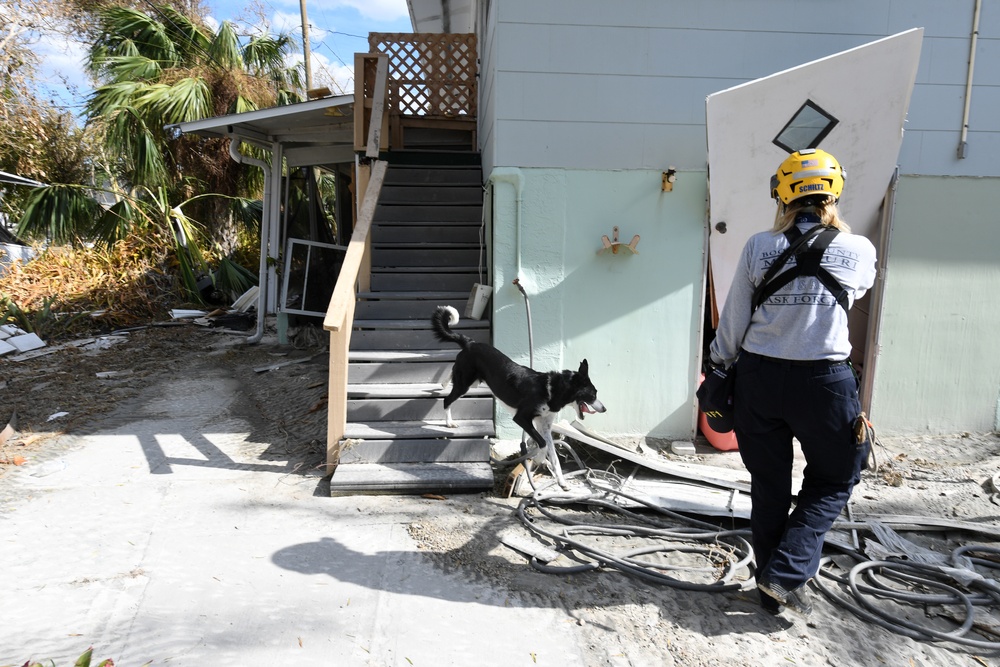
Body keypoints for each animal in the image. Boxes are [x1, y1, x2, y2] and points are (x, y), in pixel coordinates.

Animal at [428, 306, 600, 486]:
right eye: (593, 394)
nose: (604, 408)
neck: (552, 389)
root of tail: (471, 343)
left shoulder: (544, 426)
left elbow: (553, 454)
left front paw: (561, 481)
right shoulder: (522, 418)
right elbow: (542, 444)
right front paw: (538, 459)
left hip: (470, 380)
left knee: (452, 373)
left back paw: (444, 384)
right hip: (465, 385)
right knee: (447, 400)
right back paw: (449, 422)